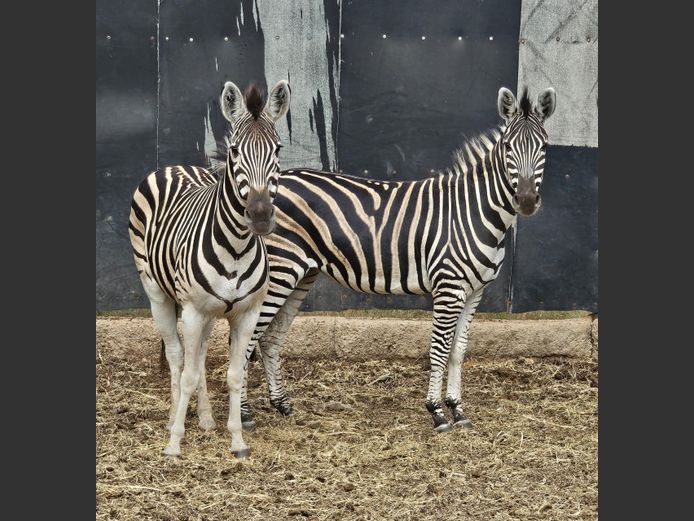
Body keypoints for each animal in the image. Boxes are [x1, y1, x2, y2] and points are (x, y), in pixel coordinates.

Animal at [128, 80, 291, 458]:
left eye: (277, 149)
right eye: (234, 150)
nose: (260, 215)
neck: (237, 248)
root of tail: (172, 166)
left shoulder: (246, 313)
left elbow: (234, 374)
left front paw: (238, 440)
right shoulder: (191, 309)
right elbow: (187, 372)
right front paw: (174, 442)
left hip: (209, 312)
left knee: (198, 356)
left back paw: (203, 418)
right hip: (157, 293)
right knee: (177, 357)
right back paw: (174, 416)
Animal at [222, 86, 557, 434]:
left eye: (545, 146)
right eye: (507, 147)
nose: (527, 200)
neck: (475, 210)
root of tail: (266, 192)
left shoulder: (474, 291)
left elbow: (459, 351)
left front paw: (458, 409)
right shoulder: (448, 287)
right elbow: (439, 350)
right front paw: (437, 412)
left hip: (301, 274)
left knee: (270, 339)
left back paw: (283, 405)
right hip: (280, 271)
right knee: (245, 341)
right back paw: (244, 414)